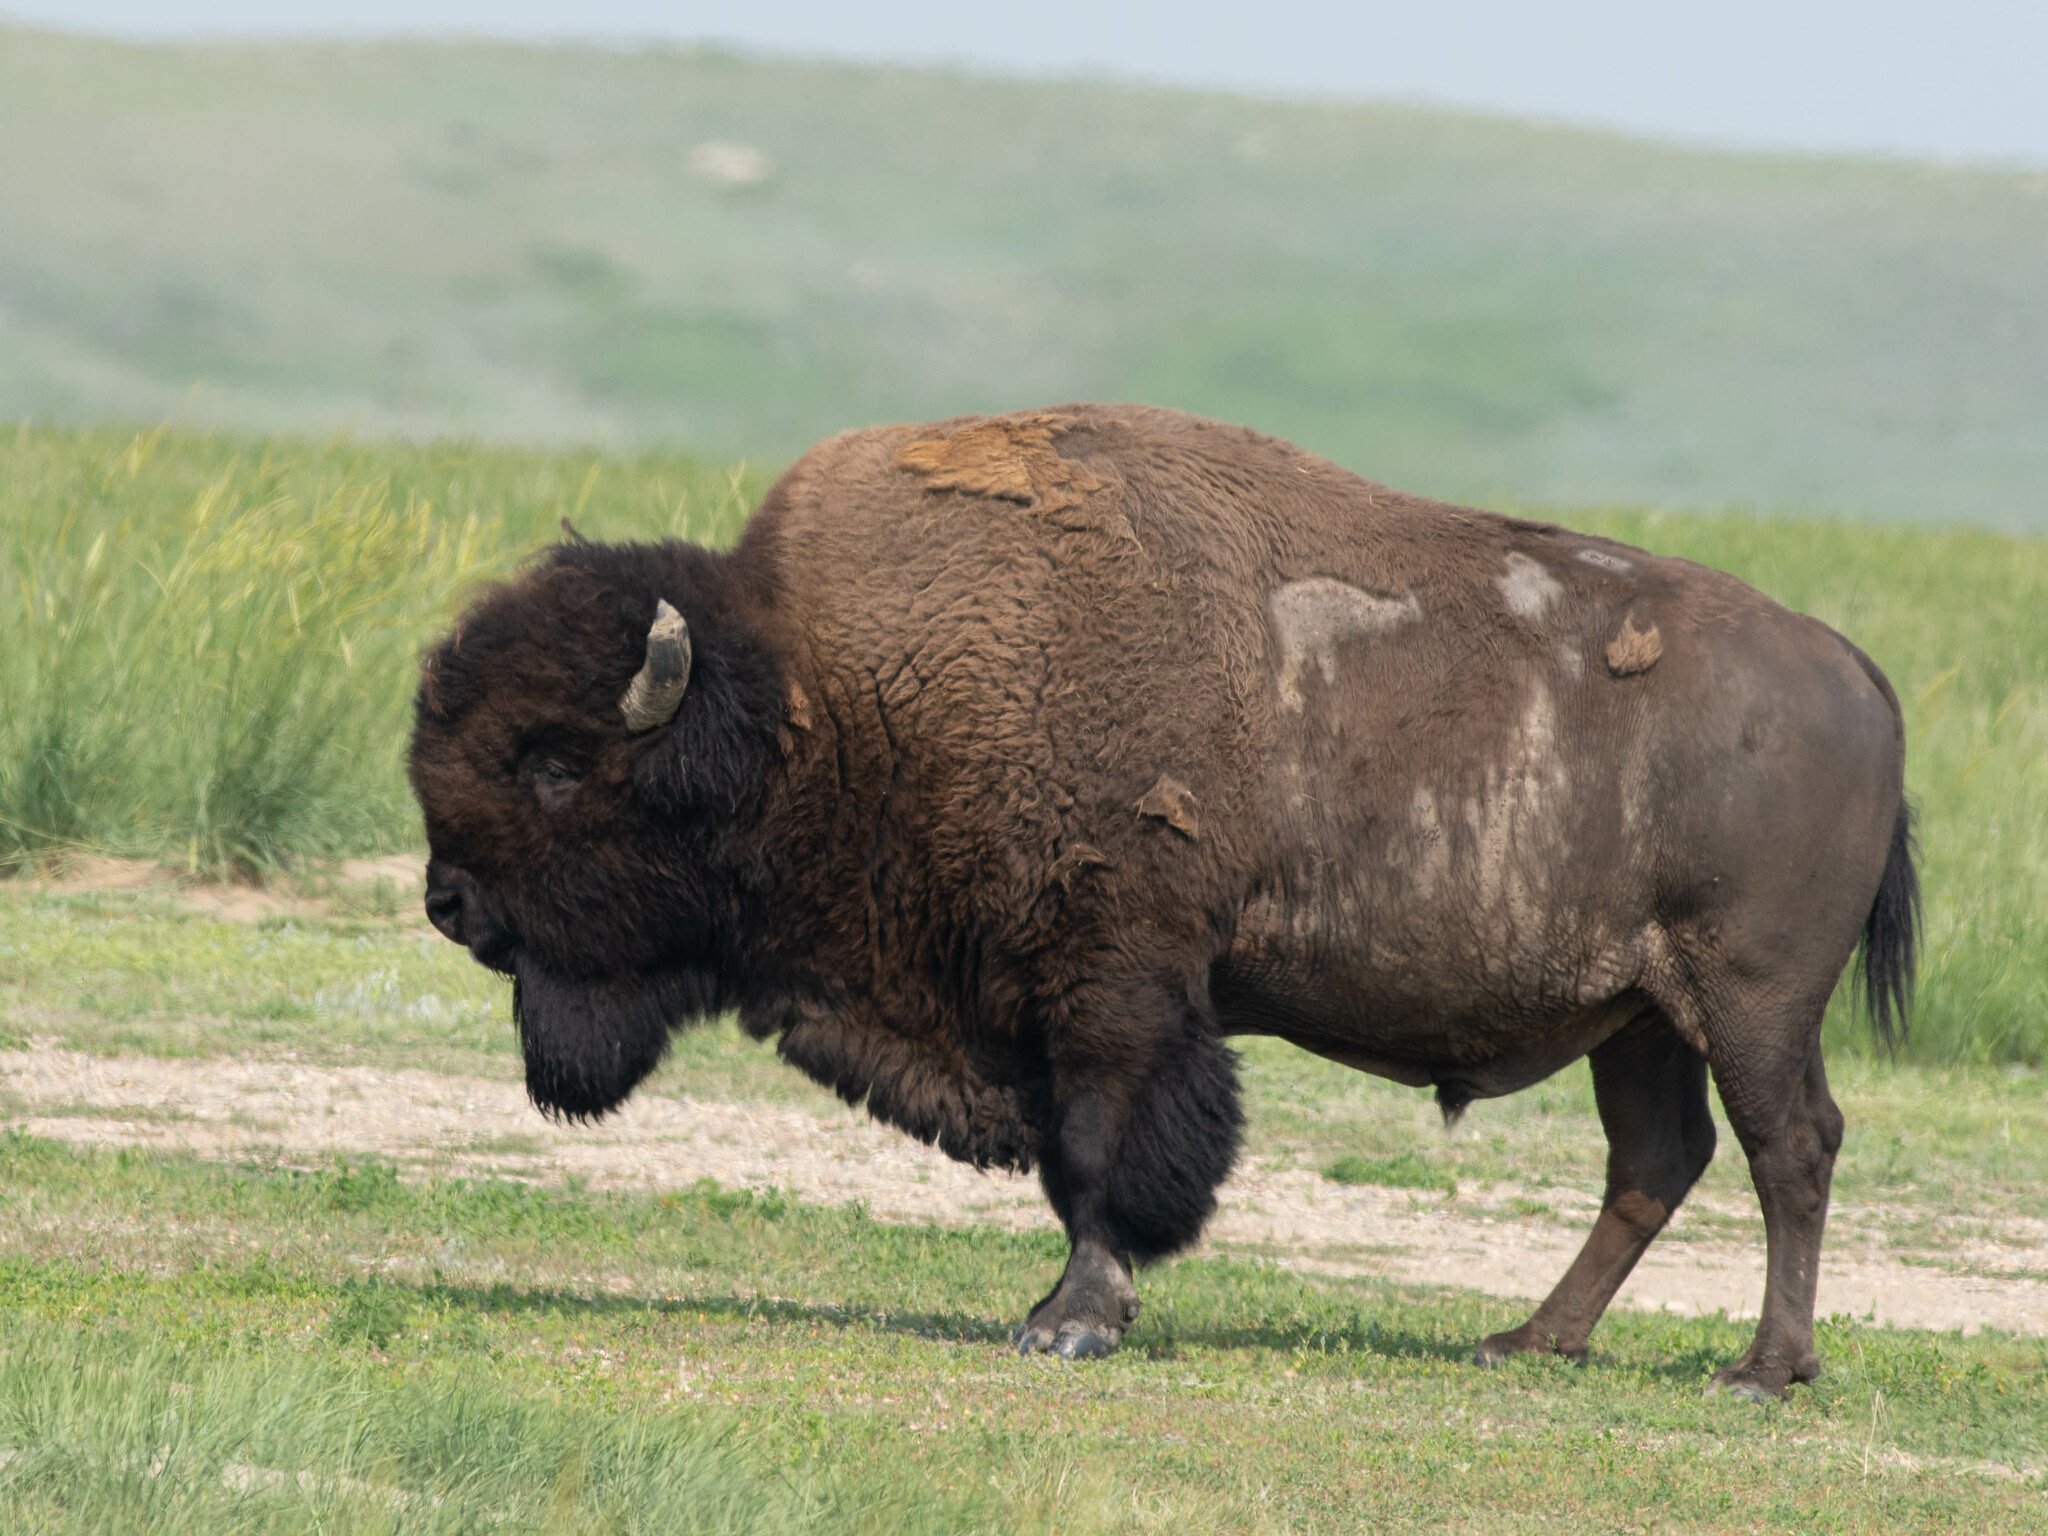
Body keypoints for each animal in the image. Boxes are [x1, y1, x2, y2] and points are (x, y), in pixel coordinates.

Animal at [410, 405, 1917, 1398]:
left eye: (554, 763)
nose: (448, 904)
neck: (815, 696)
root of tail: (1852, 670)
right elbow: (1072, 1156)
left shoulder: (1111, 987)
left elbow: (1100, 1152)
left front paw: (1070, 1320)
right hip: (1639, 1017)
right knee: (1656, 1163)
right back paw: (1530, 1342)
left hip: (1747, 1001)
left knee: (1791, 1148)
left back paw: (1761, 1370)